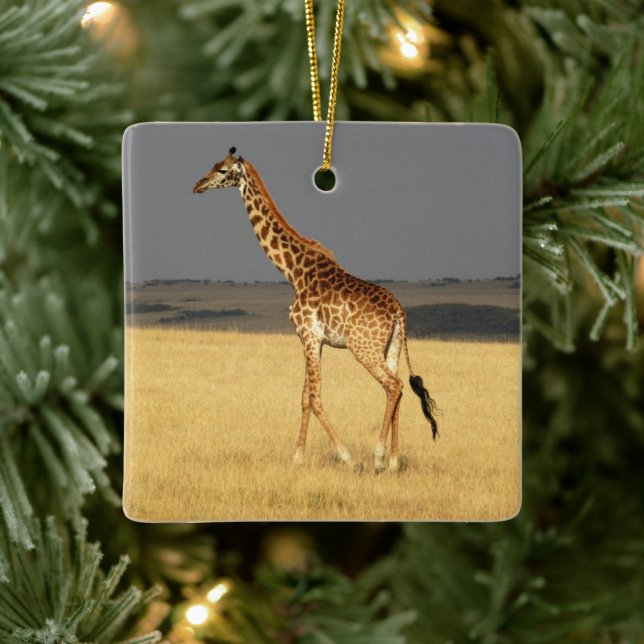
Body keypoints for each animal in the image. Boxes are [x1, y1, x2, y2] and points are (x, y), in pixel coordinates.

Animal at [193, 147, 438, 473]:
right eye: (213, 165)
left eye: (222, 170)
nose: (197, 186)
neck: (292, 270)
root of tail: (399, 312)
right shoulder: (312, 339)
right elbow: (304, 397)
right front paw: (297, 457)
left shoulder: (308, 333)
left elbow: (315, 396)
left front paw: (348, 458)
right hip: (392, 347)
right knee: (397, 390)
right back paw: (394, 463)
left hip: (364, 347)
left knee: (393, 385)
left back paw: (376, 458)